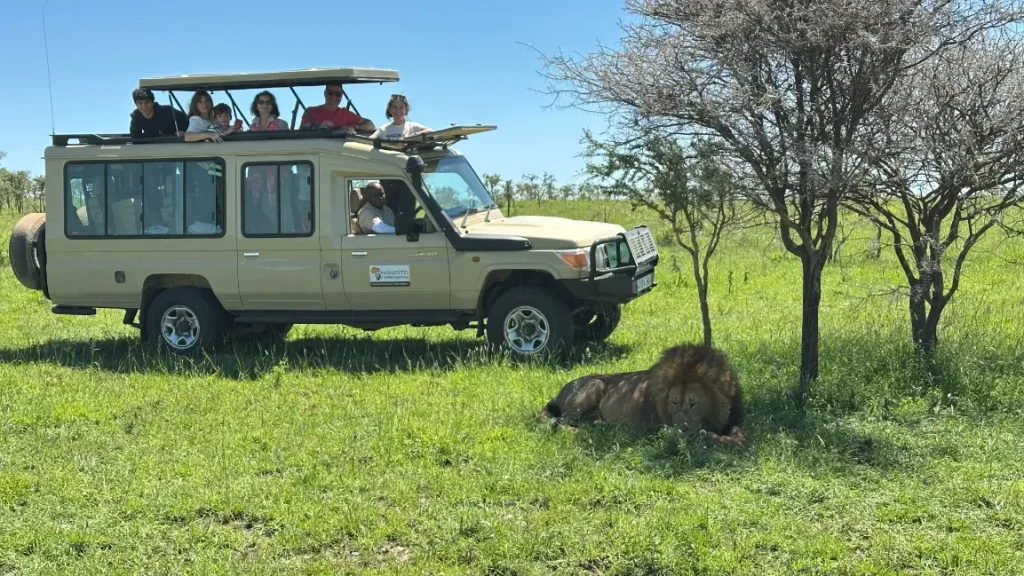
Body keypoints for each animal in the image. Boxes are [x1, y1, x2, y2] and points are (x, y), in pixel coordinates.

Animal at [541, 343, 745, 446]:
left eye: (694, 404)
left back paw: (600, 426)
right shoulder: (662, 430)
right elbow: (703, 435)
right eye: (673, 403)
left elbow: (738, 433)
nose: (681, 428)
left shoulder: (731, 420)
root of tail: (557, 393)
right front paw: (714, 438)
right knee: (561, 423)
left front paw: (735, 439)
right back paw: (581, 433)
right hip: (595, 384)